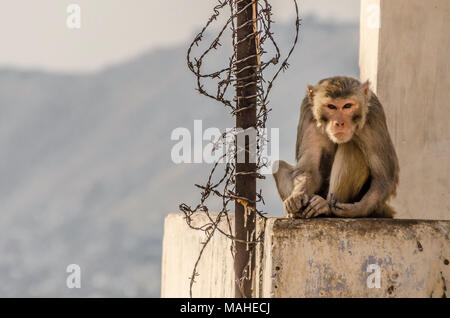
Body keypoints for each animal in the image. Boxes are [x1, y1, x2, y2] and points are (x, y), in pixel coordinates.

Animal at [272, 76, 400, 217]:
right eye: (331, 106)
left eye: (347, 106)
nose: (339, 123)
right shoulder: (308, 112)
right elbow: (308, 169)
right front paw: (297, 197)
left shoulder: (374, 116)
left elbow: (383, 176)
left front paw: (357, 209)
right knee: (278, 166)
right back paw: (296, 212)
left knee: (350, 146)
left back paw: (325, 207)